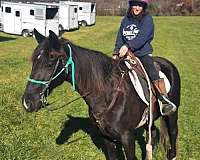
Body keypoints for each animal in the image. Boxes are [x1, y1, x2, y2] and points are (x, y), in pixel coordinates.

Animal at [22, 29, 181, 159]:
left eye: (50, 64)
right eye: (33, 62)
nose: (27, 102)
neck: (108, 94)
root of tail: (168, 63)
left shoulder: (127, 138)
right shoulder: (106, 137)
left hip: (173, 113)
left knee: (173, 132)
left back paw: (172, 155)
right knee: (152, 133)